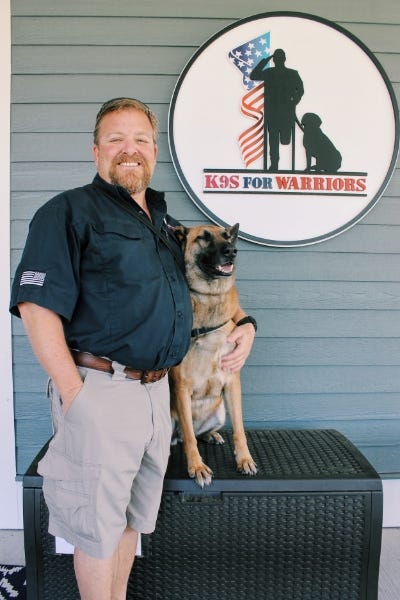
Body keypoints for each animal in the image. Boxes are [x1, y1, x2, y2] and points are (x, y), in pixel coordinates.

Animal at [168, 223, 256, 486]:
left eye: (227, 236)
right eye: (203, 238)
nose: (232, 251)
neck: (209, 297)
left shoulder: (232, 383)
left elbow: (240, 429)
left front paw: (244, 459)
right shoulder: (181, 387)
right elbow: (189, 438)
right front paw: (196, 466)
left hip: (219, 412)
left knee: (201, 433)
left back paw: (212, 436)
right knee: (187, 435)